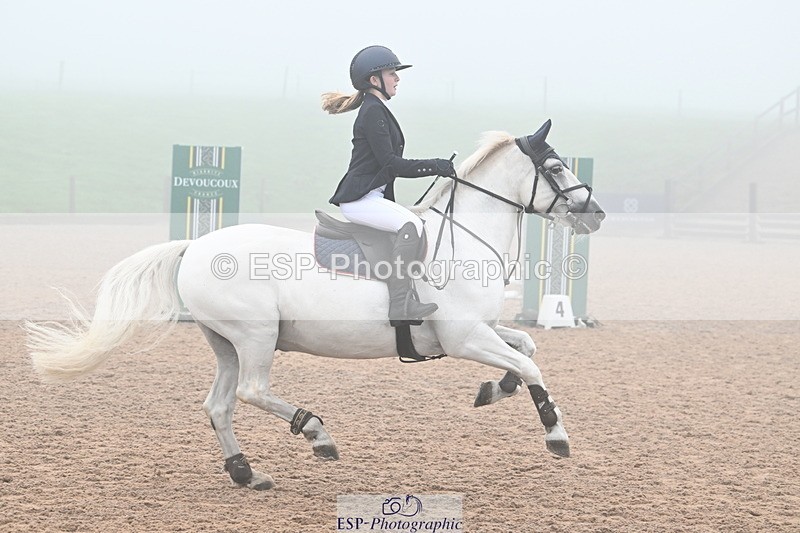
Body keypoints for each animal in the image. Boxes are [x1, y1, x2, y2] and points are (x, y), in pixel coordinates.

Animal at [26, 120, 605, 490]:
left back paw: (246, 473)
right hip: (256, 336)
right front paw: (556, 435)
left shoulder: (480, 331)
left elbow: (526, 347)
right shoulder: (465, 338)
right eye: (557, 167)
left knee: (220, 405)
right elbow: (531, 365)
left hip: (227, 343)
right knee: (253, 392)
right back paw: (316, 434)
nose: (594, 213)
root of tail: (195, 247)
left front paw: (492, 390)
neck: (464, 237)